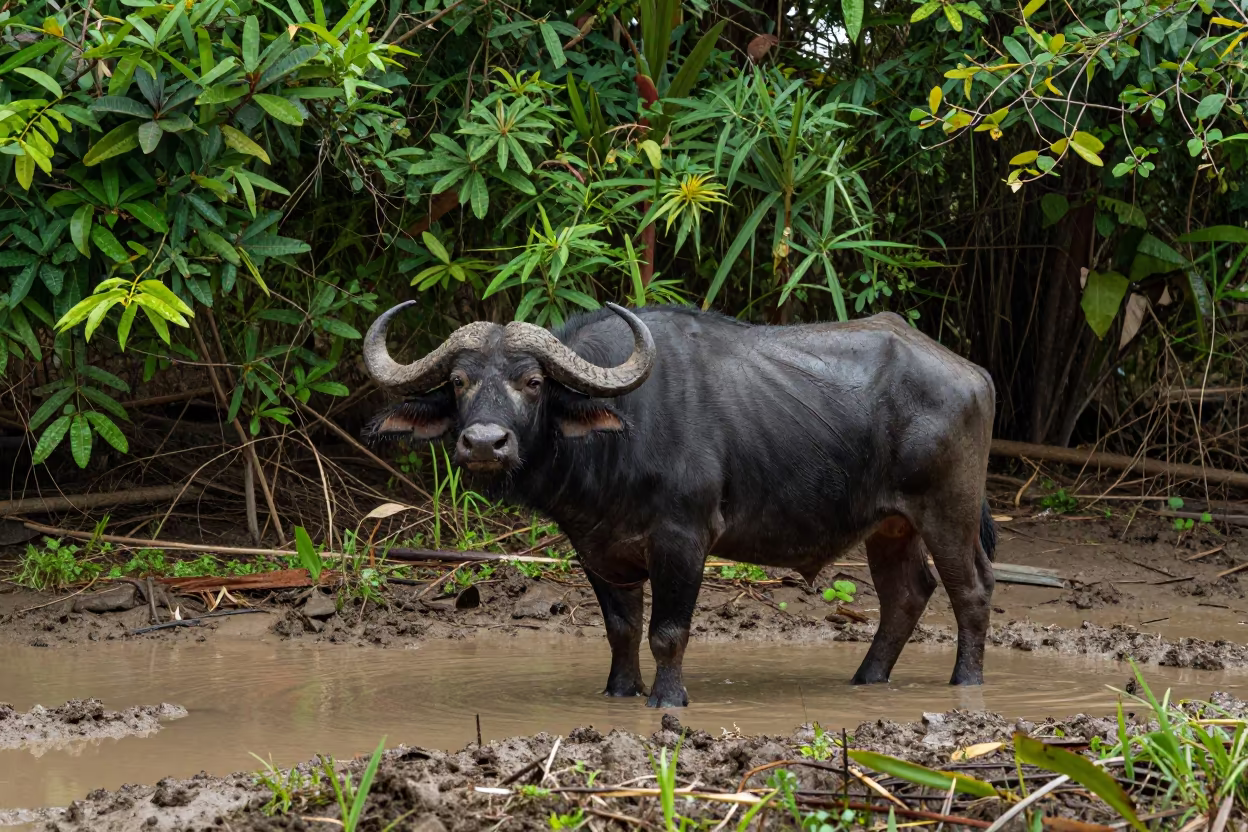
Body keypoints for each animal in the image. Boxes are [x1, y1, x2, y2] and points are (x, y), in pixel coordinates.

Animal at [363, 302, 998, 708]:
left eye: (533, 382)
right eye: (460, 381)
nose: (484, 443)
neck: (617, 441)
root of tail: (974, 374)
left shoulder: (683, 539)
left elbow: (668, 630)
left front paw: (667, 700)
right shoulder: (597, 548)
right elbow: (621, 628)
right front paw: (620, 692)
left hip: (949, 510)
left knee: (971, 590)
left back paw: (966, 682)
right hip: (891, 525)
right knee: (906, 595)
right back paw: (867, 679)